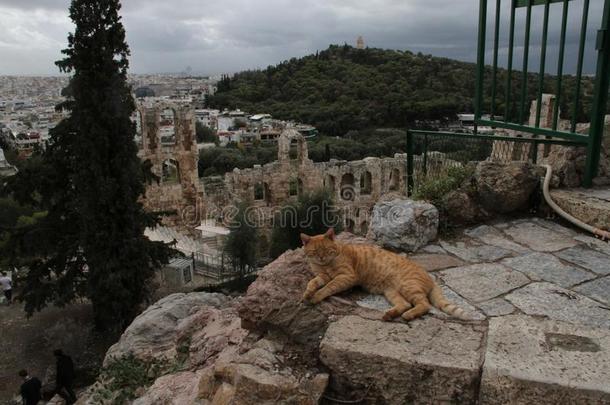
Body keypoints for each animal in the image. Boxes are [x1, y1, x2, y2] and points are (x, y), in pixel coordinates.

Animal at [300, 227, 466, 318]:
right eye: (315, 252)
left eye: (326, 250)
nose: (321, 257)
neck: (325, 266)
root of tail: (431, 278)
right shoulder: (322, 276)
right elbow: (312, 282)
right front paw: (307, 293)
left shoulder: (346, 276)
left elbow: (328, 287)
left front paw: (316, 296)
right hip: (392, 292)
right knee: (405, 304)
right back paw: (390, 315)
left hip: (408, 287)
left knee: (425, 305)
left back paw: (408, 315)